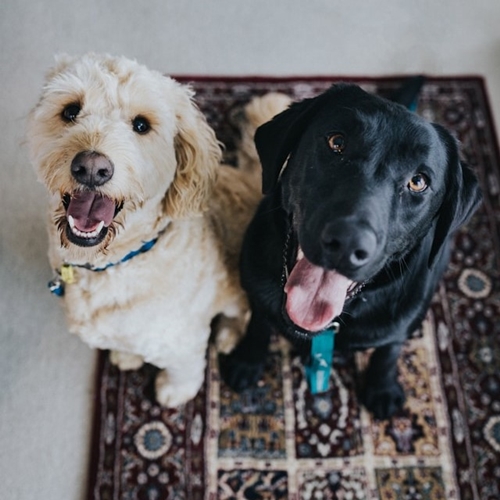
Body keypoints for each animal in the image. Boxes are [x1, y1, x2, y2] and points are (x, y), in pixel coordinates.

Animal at [27, 53, 292, 406]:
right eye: (70, 111)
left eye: (141, 125)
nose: (92, 168)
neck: (116, 262)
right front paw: (127, 356)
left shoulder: (182, 339)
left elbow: (184, 369)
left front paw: (173, 391)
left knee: (242, 313)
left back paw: (227, 335)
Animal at [221, 82, 482, 418]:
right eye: (337, 142)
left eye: (418, 181)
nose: (347, 243)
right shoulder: (256, 286)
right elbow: (258, 323)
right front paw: (247, 360)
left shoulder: (399, 323)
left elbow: (388, 351)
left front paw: (382, 387)